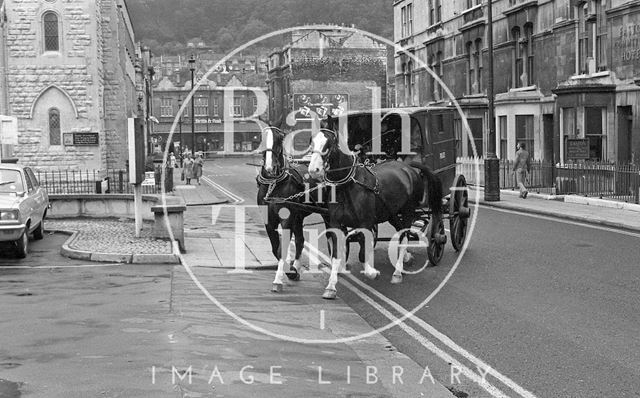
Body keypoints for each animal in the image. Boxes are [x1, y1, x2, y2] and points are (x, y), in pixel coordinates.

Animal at [308, 117, 440, 298]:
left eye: (329, 143)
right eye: (312, 141)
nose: (313, 170)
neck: (349, 186)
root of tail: (408, 168)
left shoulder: (365, 223)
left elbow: (363, 254)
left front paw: (372, 272)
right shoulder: (335, 224)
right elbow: (336, 254)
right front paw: (331, 286)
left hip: (408, 211)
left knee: (405, 236)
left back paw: (398, 272)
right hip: (392, 213)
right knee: (401, 232)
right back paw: (406, 258)